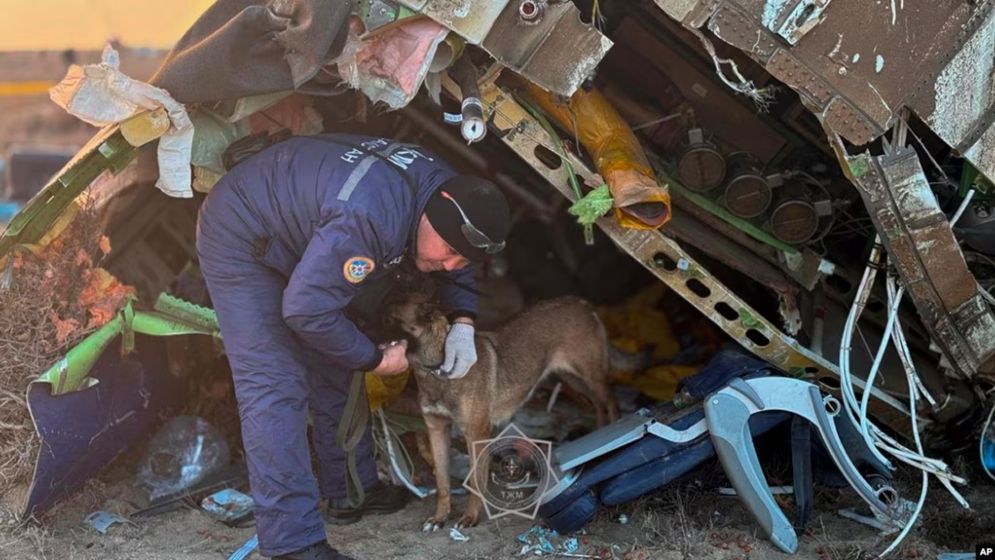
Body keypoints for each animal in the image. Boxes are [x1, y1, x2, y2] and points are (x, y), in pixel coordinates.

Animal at [388, 296, 616, 532]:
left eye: (390, 319)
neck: (438, 368)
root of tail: (580, 302)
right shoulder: (437, 429)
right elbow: (442, 483)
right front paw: (439, 518)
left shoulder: (476, 433)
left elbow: (476, 481)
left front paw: (470, 517)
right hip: (571, 378)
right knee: (597, 404)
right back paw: (601, 432)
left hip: (590, 376)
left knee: (610, 400)